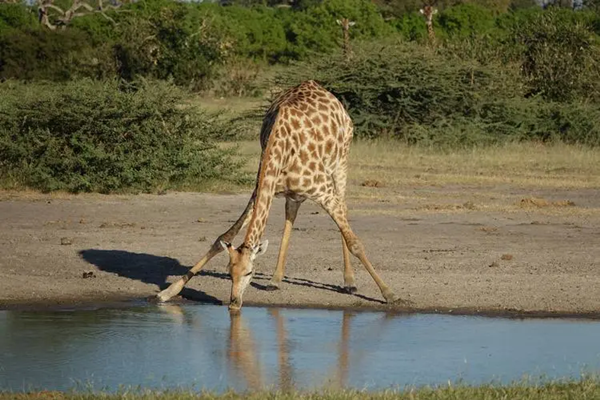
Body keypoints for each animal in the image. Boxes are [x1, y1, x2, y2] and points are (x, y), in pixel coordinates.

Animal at [155, 79, 400, 310]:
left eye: (250, 272)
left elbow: (355, 243)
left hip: (340, 163)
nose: (234, 303)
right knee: (291, 215)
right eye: (228, 272)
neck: (282, 149)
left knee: (343, 209)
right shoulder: (263, 188)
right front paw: (168, 292)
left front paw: (389, 294)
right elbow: (223, 237)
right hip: (294, 192)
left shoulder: (325, 193)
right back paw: (275, 279)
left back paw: (349, 281)